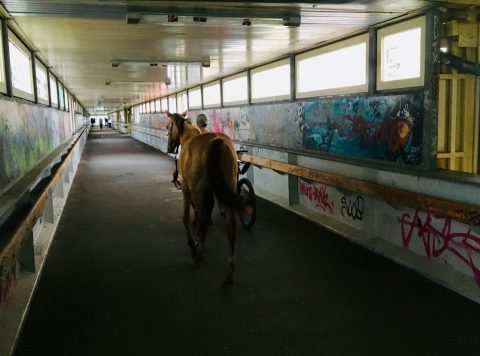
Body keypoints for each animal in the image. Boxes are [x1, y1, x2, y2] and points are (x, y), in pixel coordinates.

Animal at [166, 111, 248, 286]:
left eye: (168, 126)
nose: (169, 147)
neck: (188, 137)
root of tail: (218, 142)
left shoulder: (188, 188)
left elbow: (186, 216)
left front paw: (193, 244)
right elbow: (201, 212)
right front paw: (198, 241)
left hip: (196, 190)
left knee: (203, 220)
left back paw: (198, 255)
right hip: (228, 190)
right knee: (230, 228)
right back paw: (229, 274)